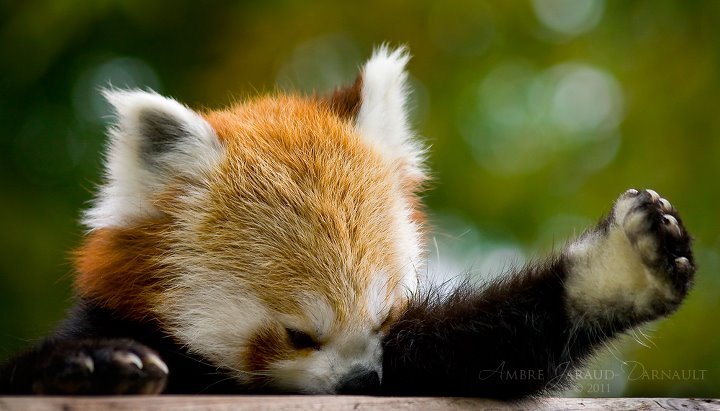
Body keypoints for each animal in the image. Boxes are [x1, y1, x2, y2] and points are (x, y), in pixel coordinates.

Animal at [0, 46, 695, 398]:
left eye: (383, 318)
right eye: (299, 335)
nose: (364, 377)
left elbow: (468, 351)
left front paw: (622, 268)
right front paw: (93, 363)